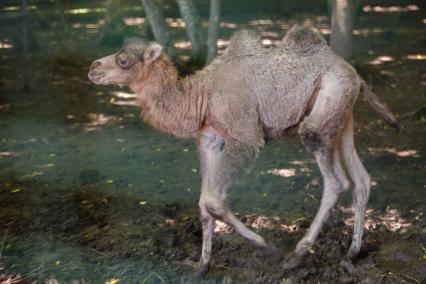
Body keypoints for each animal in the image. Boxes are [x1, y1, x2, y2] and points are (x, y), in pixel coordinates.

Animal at [87, 25, 400, 278]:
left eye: (124, 60)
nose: (93, 68)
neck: (201, 97)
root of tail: (354, 73)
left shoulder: (245, 135)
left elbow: (213, 200)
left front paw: (268, 249)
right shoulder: (210, 139)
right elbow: (203, 203)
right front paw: (201, 266)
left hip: (323, 114)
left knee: (335, 179)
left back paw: (297, 255)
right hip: (341, 114)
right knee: (361, 179)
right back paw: (353, 252)